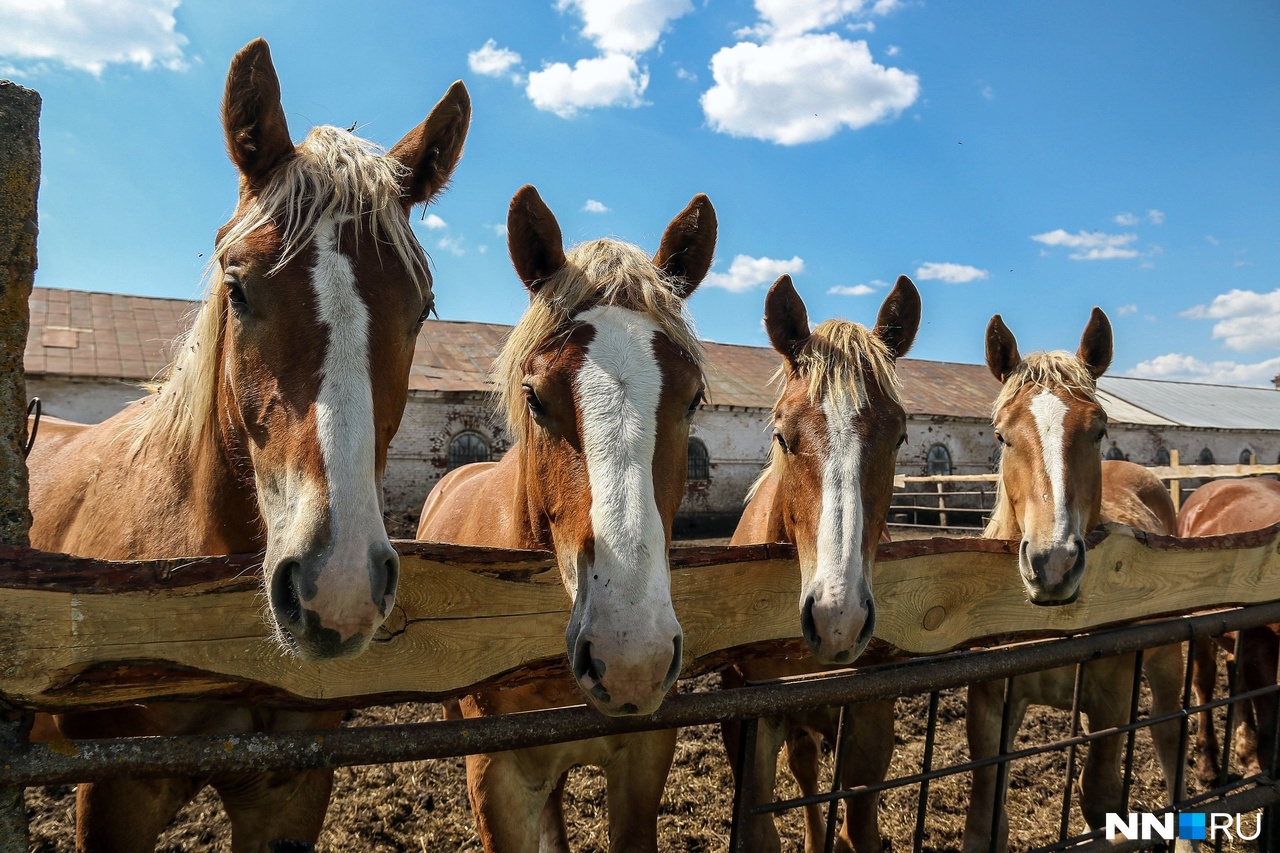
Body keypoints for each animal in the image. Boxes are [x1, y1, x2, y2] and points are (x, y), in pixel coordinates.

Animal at [721, 272, 921, 850]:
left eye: (899, 436)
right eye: (781, 435)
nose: (838, 619)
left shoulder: (871, 715)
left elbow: (860, 826)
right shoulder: (749, 720)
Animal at [967, 311, 1187, 850]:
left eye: (1099, 429)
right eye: (1001, 436)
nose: (1054, 563)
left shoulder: (1111, 699)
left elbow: (1101, 798)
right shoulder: (989, 703)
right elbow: (985, 818)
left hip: (1167, 658)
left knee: (1169, 735)